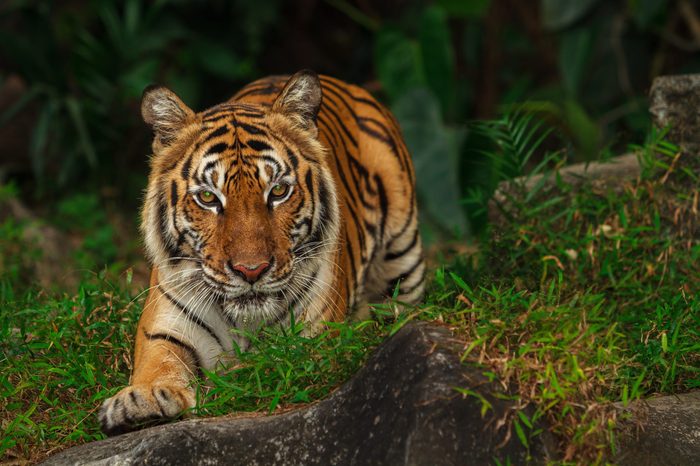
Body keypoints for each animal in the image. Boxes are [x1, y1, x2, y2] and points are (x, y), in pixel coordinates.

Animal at [98, 70, 425, 435]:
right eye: (208, 198)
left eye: (279, 191)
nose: (251, 270)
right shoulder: (163, 329)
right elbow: (159, 364)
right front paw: (140, 401)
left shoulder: (312, 342)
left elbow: (266, 366)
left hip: (403, 259)